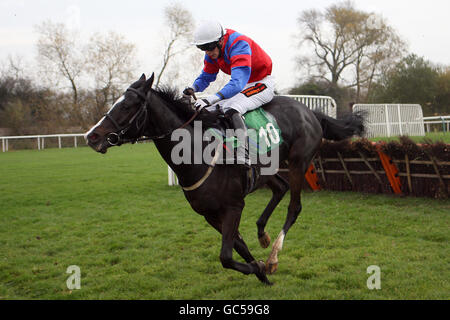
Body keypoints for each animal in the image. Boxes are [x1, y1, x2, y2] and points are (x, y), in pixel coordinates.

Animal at [85, 73, 366, 284]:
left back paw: (273, 256)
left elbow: (226, 257)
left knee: (294, 207)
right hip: (266, 170)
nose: (92, 136)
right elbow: (238, 247)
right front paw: (260, 272)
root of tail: (310, 111)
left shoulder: (233, 206)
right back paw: (262, 234)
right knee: (280, 187)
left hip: (299, 163)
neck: (196, 153)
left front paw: (262, 267)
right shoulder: (210, 214)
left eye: (127, 105)